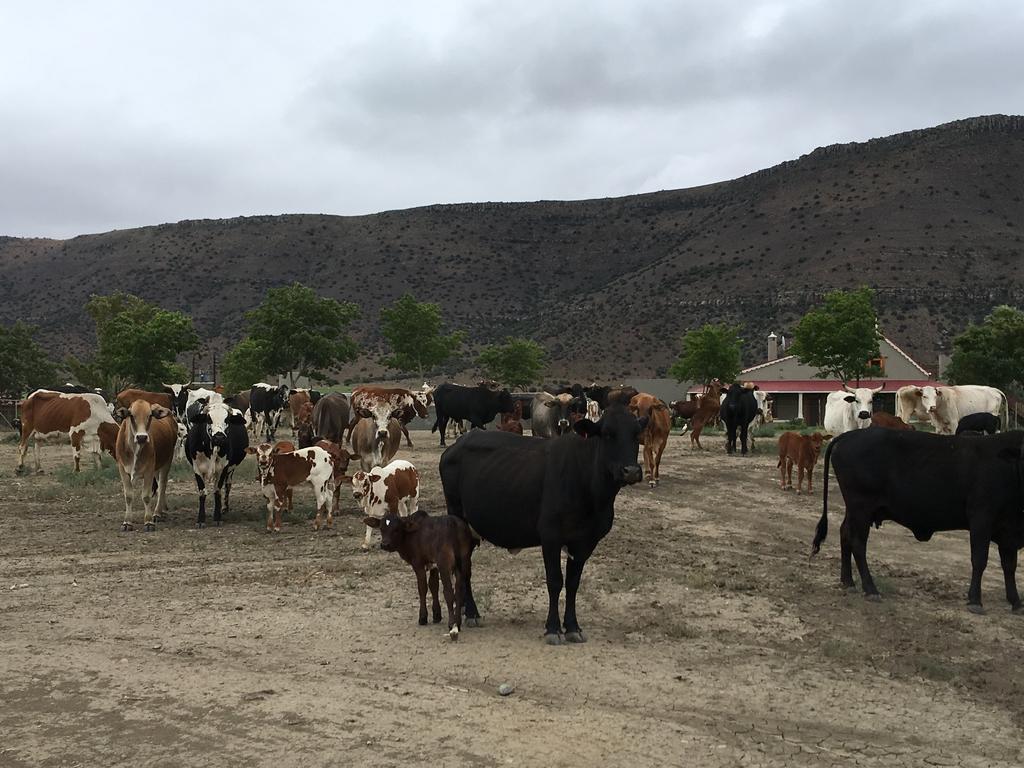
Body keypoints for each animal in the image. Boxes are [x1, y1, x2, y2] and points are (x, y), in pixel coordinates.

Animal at [115, 399, 177, 532]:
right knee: (159, 485)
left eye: (150, 416)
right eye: (132, 415)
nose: (142, 437)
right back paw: (162, 509)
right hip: (157, 467)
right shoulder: (122, 469)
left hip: (166, 461)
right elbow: (128, 496)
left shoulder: (149, 470)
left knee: (162, 485)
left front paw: (148, 521)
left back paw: (157, 513)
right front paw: (127, 522)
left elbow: (146, 496)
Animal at [364, 512, 475, 643]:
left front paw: (423, 617)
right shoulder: (433, 565)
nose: (385, 544)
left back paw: (452, 626)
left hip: (444, 563)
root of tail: (453, 523)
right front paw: (436, 614)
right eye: (381, 528)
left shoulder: (418, 564)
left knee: (448, 592)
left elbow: (422, 588)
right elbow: (433, 585)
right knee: (459, 590)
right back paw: (457, 622)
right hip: (464, 561)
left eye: (396, 529)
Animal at [440, 405, 647, 647]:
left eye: (636, 435)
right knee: (463, 568)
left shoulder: (585, 541)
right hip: (459, 519)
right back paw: (472, 612)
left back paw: (465, 608)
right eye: (607, 434)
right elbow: (555, 581)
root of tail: (457, 445)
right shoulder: (550, 536)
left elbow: (573, 583)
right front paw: (553, 628)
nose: (631, 471)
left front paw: (573, 627)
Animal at [811, 428, 1024, 614]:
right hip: (861, 508)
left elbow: (1009, 565)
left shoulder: (1009, 531)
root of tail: (847, 435)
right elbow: (979, 560)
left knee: (845, 534)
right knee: (858, 543)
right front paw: (975, 601)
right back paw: (871, 589)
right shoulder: (981, 519)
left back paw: (848, 582)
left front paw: (1016, 602)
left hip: (855, 511)